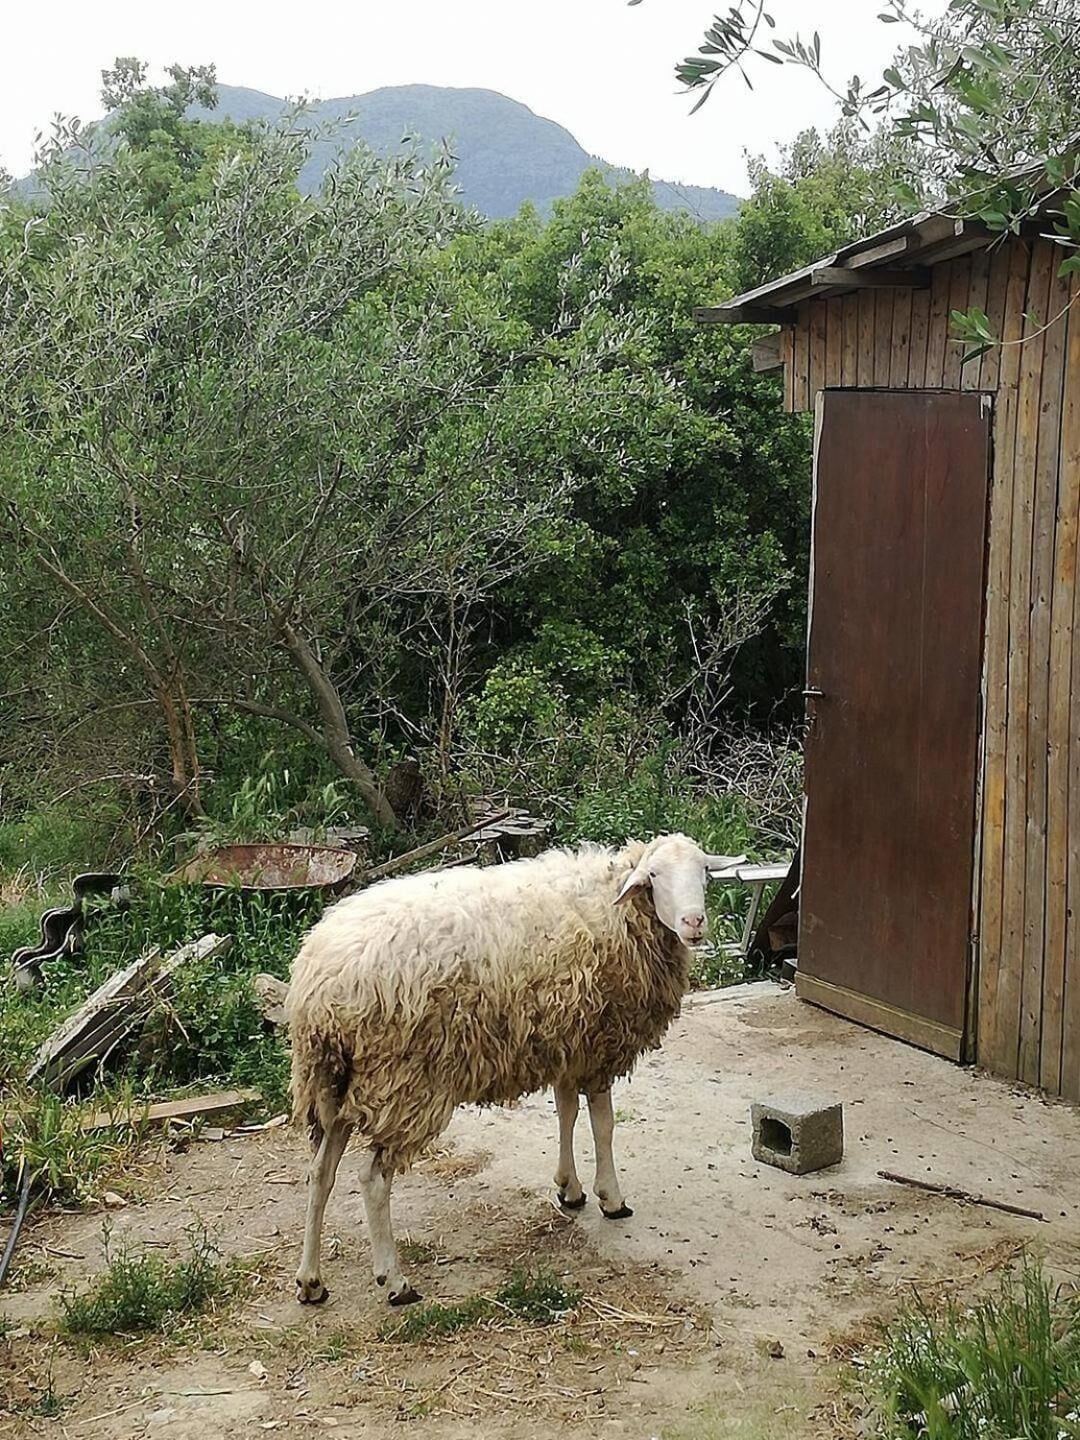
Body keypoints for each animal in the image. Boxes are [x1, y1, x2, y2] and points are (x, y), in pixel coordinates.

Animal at [285, 832, 743, 1306]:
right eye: (653, 875)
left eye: (704, 871)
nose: (693, 922)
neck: (616, 909)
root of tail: (316, 986)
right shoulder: (599, 1044)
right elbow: (604, 1126)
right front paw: (611, 1198)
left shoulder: (568, 1042)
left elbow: (566, 1113)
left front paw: (569, 1188)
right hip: (402, 1081)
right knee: (372, 1179)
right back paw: (395, 1282)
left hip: (337, 1084)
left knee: (320, 1173)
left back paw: (310, 1281)